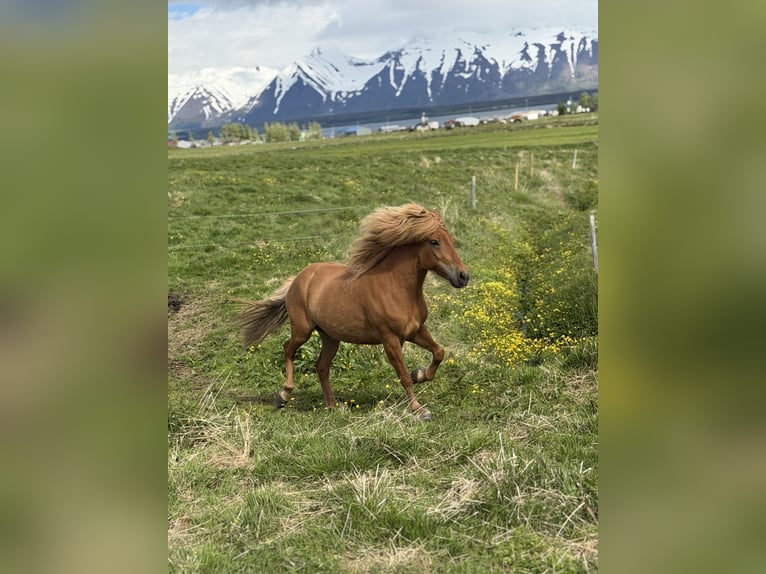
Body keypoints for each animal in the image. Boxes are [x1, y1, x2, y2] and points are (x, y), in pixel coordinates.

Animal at [235, 203, 469, 420]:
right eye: (434, 241)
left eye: (451, 238)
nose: (463, 276)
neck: (396, 288)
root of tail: (299, 277)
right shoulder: (390, 339)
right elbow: (402, 374)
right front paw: (420, 410)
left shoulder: (416, 331)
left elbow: (439, 352)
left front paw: (418, 375)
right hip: (303, 330)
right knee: (288, 349)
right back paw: (283, 396)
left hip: (330, 337)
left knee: (321, 366)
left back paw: (333, 406)